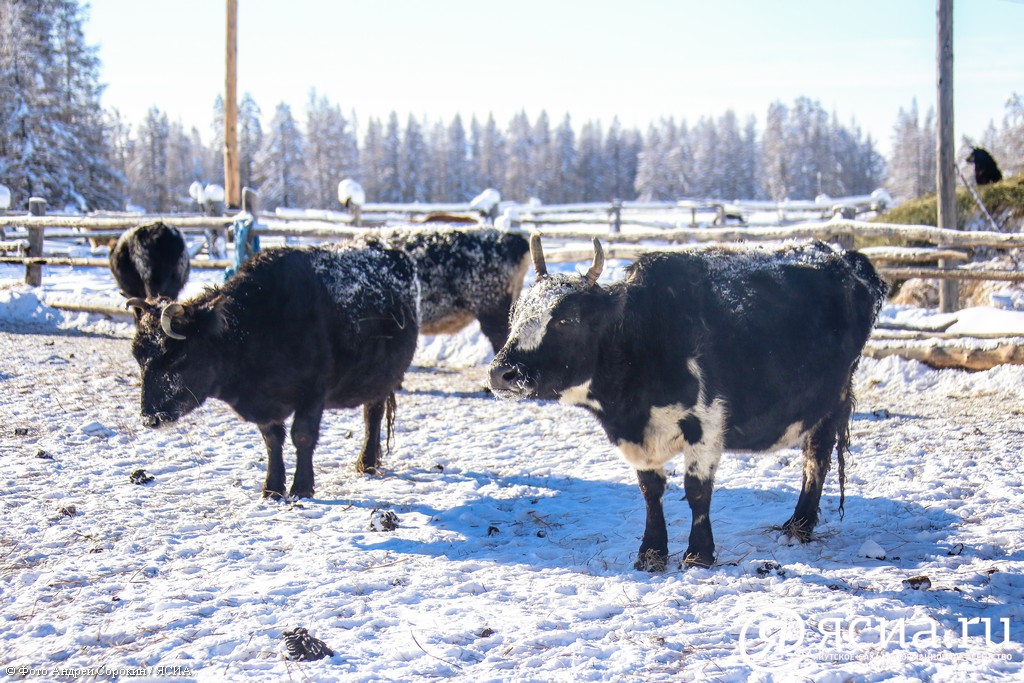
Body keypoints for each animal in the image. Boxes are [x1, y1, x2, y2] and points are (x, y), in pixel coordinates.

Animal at [128, 244, 419, 497]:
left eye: (178, 355)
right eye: (138, 358)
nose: (150, 418)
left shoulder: (313, 393)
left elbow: (302, 436)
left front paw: (301, 487)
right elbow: (272, 441)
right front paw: (272, 488)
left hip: (382, 380)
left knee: (373, 415)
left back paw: (366, 462)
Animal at [491, 235, 884, 573]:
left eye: (566, 319)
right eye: (516, 313)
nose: (501, 372)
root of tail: (843, 257)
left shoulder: (706, 422)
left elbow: (697, 491)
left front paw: (699, 554)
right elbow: (650, 491)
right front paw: (651, 552)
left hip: (831, 399)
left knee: (816, 460)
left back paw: (798, 526)